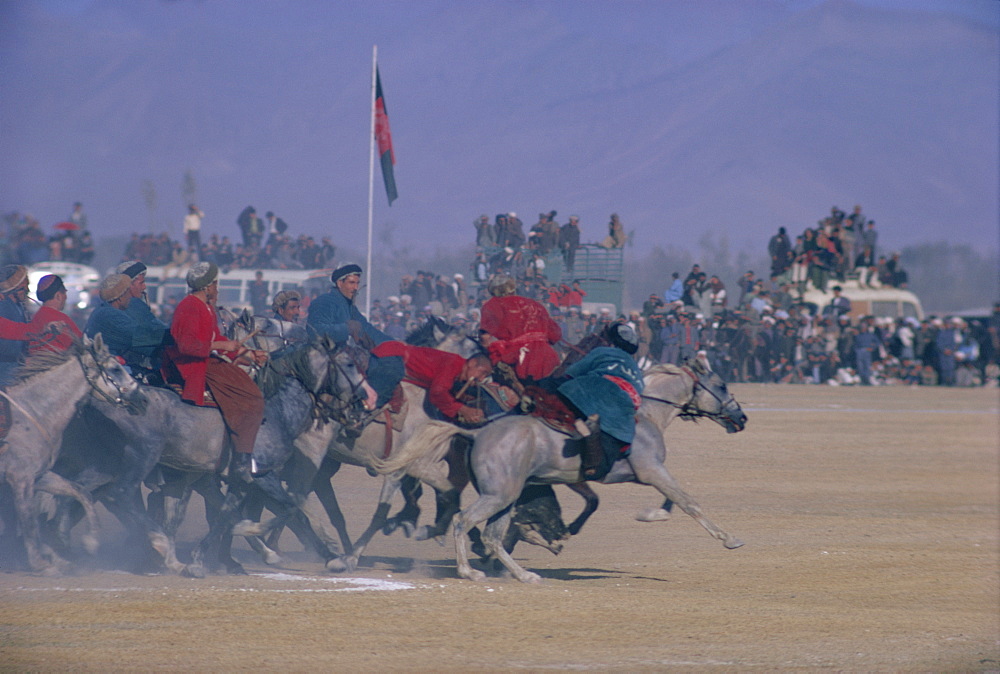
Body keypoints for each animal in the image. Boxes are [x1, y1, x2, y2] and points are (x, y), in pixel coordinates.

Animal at [0, 336, 145, 572]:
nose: (143, 398)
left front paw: (87, 543)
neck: (34, 411)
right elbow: (28, 519)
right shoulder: (20, 478)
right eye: (115, 368)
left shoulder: (38, 476)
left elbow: (79, 492)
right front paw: (41, 563)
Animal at [450, 360, 748, 580]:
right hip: (499, 495)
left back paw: (521, 573)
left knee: (492, 535)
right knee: (463, 520)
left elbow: (603, 500)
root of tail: (476, 435)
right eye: (721, 385)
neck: (646, 416)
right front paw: (729, 538)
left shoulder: (627, 475)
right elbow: (687, 501)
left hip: (506, 497)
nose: (742, 418)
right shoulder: (652, 470)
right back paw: (469, 571)